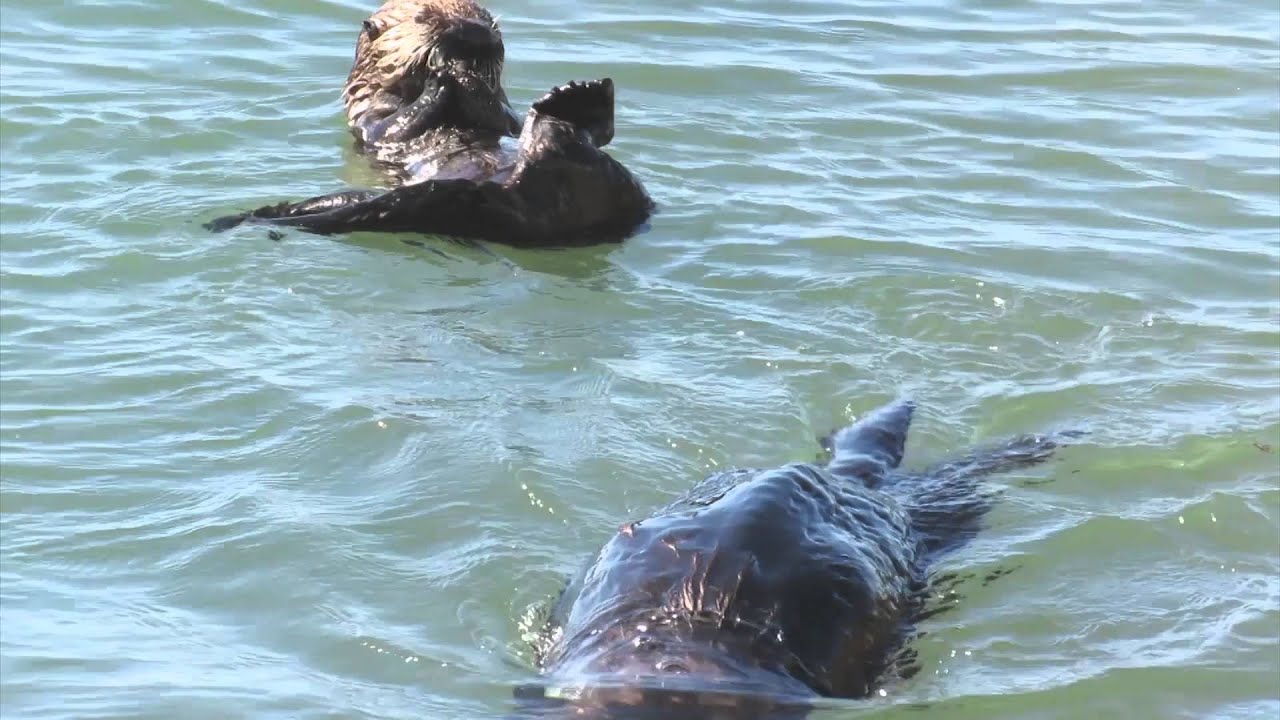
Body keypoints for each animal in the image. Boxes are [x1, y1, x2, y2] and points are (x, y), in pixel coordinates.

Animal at [205, 0, 653, 247]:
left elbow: (504, 119)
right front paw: (443, 72)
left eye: (487, 17)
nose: (476, 34)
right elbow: (396, 125)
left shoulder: (503, 114)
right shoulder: (372, 117)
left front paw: (467, 77)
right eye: (425, 18)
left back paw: (580, 98)